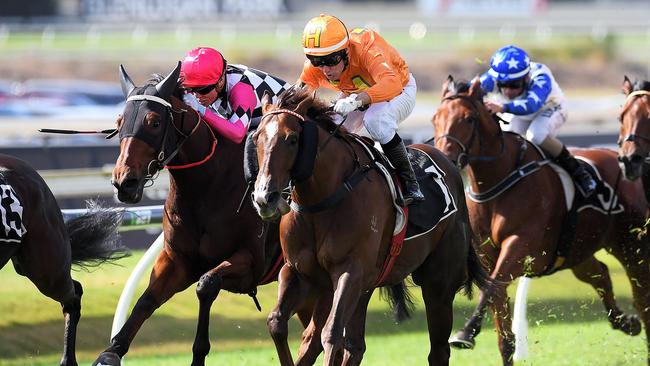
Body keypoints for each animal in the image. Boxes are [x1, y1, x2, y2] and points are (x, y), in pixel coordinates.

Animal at [91, 64, 312, 366]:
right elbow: (146, 300)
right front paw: (111, 351)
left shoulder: (250, 261)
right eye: (119, 121)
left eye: (154, 122)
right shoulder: (178, 260)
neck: (207, 186)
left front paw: (198, 353)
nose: (124, 182)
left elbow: (206, 285)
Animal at [251, 86, 488, 366]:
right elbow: (277, 323)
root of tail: (448, 164)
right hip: (360, 287)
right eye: (256, 138)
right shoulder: (299, 272)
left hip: (438, 283)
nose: (264, 198)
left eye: (292, 139)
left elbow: (331, 334)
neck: (322, 199)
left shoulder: (350, 271)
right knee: (345, 345)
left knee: (438, 349)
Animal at [430, 76, 648, 364]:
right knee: (600, 274)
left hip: (630, 245)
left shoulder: (523, 248)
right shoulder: (488, 257)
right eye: (435, 118)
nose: (445, 158)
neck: (499, 181)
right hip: (577, 251)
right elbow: (503, 331)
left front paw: (465, 333)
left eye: (468, 118)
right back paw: (627, 323)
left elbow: (492, 288)